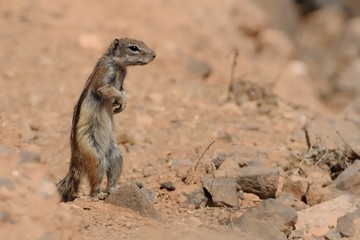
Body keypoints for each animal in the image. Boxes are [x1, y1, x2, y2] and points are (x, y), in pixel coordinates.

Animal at [57, 38, 155, 202]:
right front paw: (122, 102)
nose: (154, 55)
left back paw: (116, 189)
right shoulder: (105, 75)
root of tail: (75, 160)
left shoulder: (121, 82)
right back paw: (99, 194)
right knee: (94, 185)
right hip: (94, 156)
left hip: (115, 155)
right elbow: (106, 89)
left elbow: (121, 92)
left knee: (112, 173)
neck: (118, 65)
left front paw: (119, 106)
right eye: (133, 48)